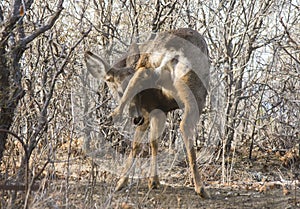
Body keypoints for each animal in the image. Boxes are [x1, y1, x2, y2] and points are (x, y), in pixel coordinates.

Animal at [84, 28, 210, 199]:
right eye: (114, 86)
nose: (136, 117)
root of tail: (171, 54)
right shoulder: (158, 109)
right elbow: (152, 142)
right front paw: (152, 181)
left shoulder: (153, 108)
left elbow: (144, 143)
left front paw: (133, 181)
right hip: (192, 89)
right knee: (184, 124)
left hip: (189, 89)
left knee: (142, 74)